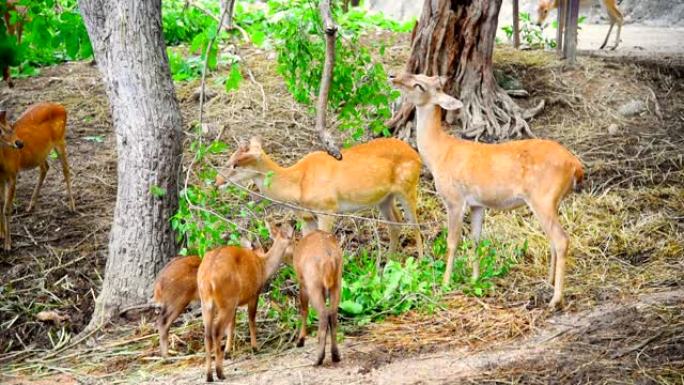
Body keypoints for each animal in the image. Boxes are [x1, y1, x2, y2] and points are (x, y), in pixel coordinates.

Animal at [0, 103, 76, 249]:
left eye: (10, 128)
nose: (19, 143)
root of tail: (61, 107)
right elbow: (0, 203)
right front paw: (1, 234)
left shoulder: (13, 174)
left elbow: (7, 208)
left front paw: (8, 244)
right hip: (40, 152)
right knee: (45, 167)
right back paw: (31, 205)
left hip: (59, 139)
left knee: (66, 170)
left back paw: (72, 207)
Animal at [198, 222, 294, 380]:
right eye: (293, 240)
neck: (262, 265)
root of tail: (208, 278)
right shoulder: (254, 294)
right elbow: (251, 318)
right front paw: (255, 347)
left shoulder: (236, 303)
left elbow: (232, 324)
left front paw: (229, 351)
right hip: (226, 300)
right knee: (216, 330)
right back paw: (220, 373)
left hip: (207, 302)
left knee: (207, 333)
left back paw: (209, 375)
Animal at [216, 136, 424, 260]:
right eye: (229, 158)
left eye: (236, 164)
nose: (217, 181)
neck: (298, 182)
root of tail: (416, 154)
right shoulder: (306, 217)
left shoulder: (327, 209)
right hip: (384, 199)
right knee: (395, 222)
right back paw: (388, 262)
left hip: (408, 187)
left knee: (414, 224)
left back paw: (421, 262)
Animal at [292, 230, 342, 364]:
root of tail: (329, 258)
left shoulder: (303, 283)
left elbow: (304, 310)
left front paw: (300, 340)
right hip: (337, 282)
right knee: (332, 313)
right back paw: (335, 355)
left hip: (313, 283)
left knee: (323, 314)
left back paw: (319, 357)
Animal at [390, 73, 584, 308]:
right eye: (422, 75)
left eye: (419, 84)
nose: (393, 77)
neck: (439, 155)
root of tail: (576, 165)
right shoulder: (477, 204)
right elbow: (475, 239)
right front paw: (475, 279)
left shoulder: (454, 199)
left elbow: (452, 241)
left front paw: (445, 284)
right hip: (552, 201)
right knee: (554, 240)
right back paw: (547, 283)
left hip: (543, 198)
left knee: (561, 239)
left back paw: (556, 299)